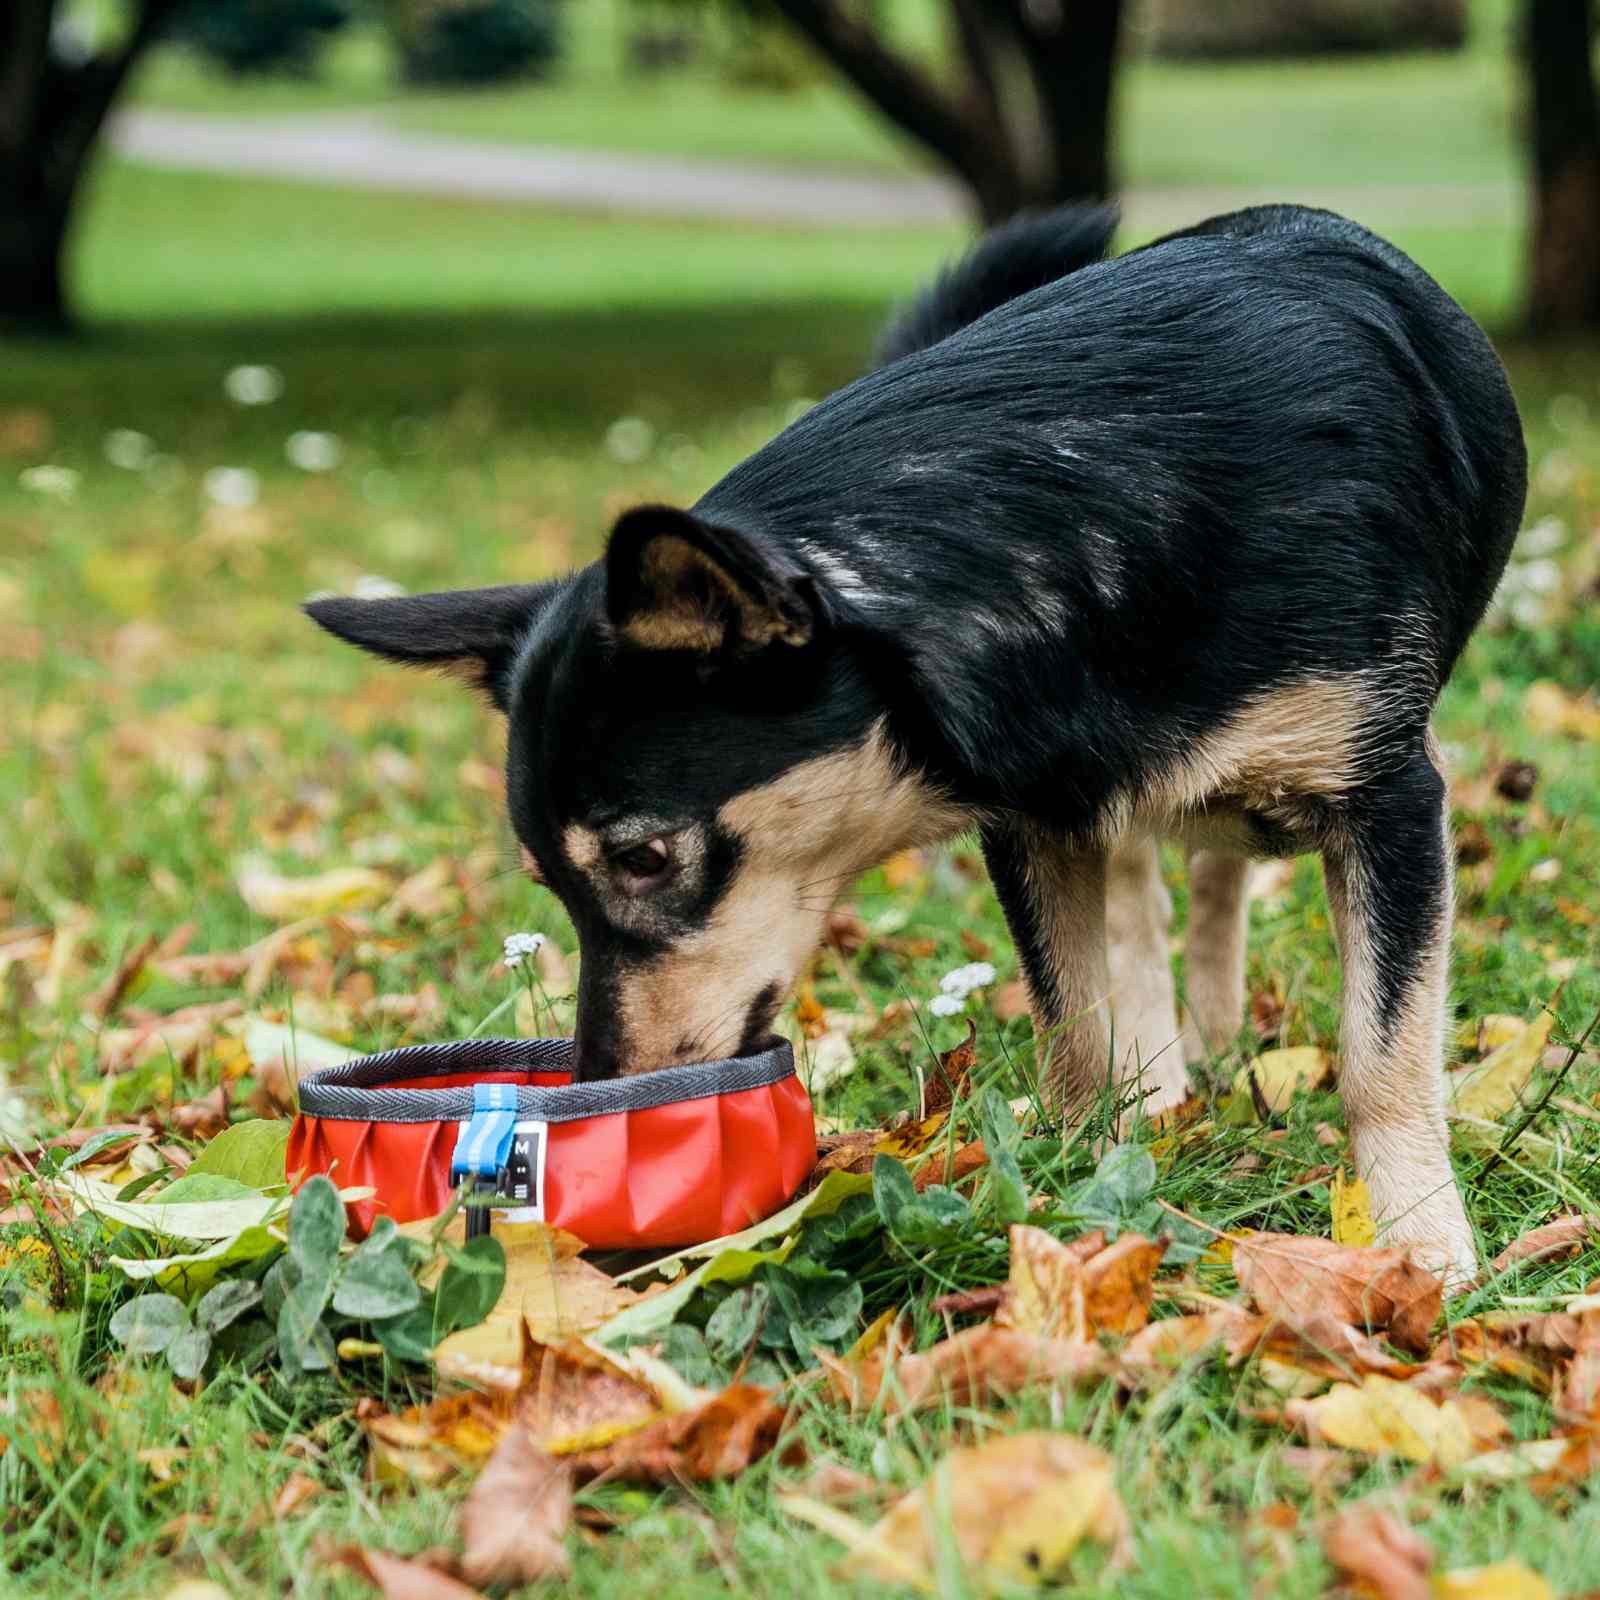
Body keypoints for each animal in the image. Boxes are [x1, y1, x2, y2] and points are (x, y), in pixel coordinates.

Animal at [308, 206, 1523, 1280]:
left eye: (645, 859)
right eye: (549, 885)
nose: (603, 1084)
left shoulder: (1388, 802)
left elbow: (1380, 1056)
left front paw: (1418, 1241)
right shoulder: (1037, 821)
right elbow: (1073, 1025)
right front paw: (1080, 1174)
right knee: (1149, 896)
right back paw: (1171, 1070)